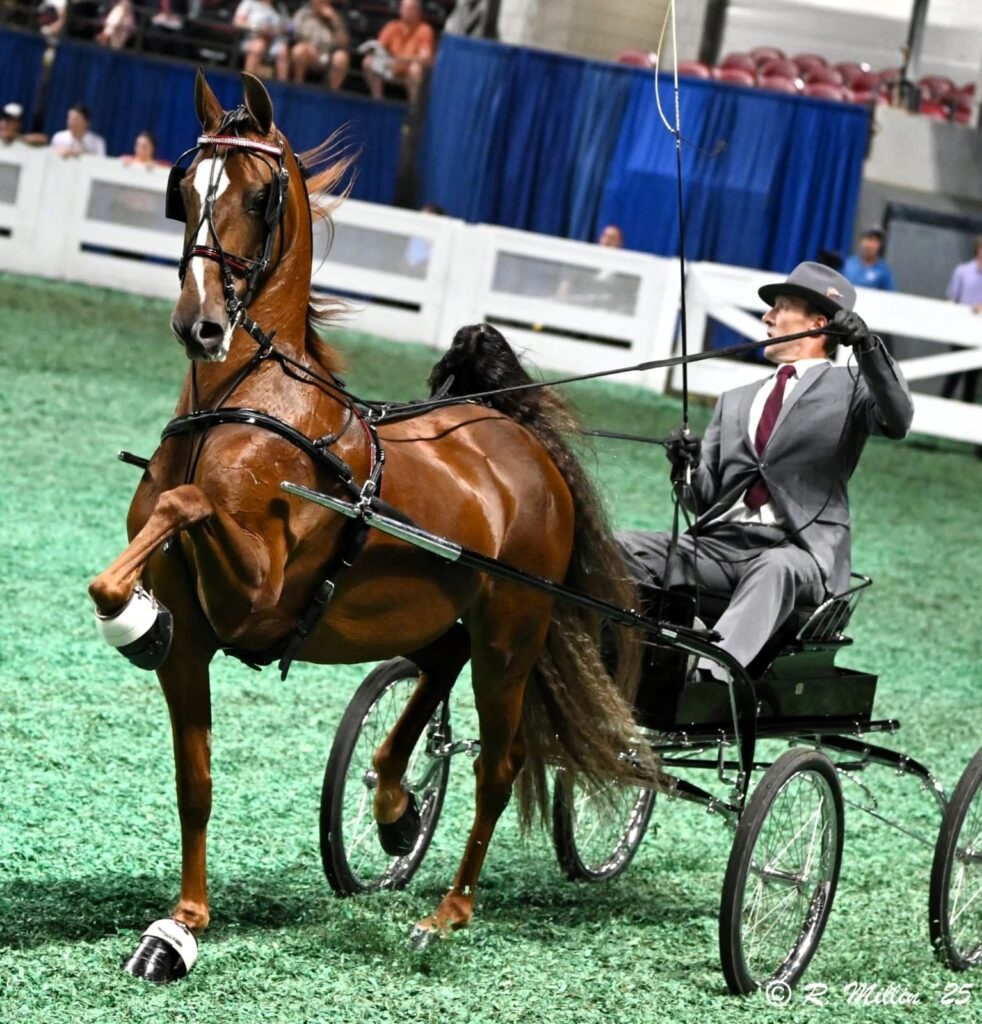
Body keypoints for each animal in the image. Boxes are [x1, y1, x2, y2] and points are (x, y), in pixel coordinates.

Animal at [89, 71, 645, 982]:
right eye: (184, 187)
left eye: (260, 194)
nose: (199, 325)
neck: (243, 406)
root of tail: (517, 437)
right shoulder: (197, 647)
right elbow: (194, 779)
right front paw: (182, 926)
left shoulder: (256, 597)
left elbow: (186, 505)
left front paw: (130, 615)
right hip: (448, 604)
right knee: (436, 667)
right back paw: (392, 804)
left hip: (513, 628)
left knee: (498, 764)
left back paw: (447, 913)